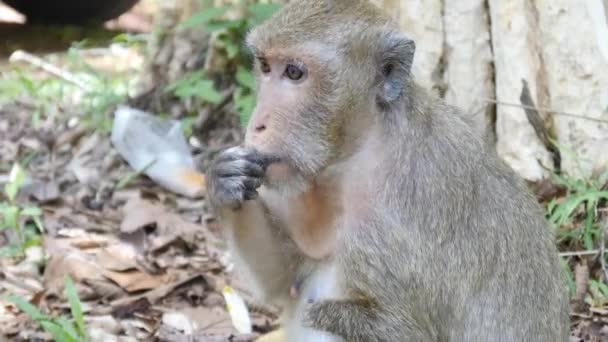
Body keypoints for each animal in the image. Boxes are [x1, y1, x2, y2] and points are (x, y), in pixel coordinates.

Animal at [207, 1, 572, 340]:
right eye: (266, 66)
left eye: (295, 73)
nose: (257, 125)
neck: (358, 151)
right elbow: (286, 279)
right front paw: (225, 179)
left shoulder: (394, 218)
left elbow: (407, 329)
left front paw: (325, 313)